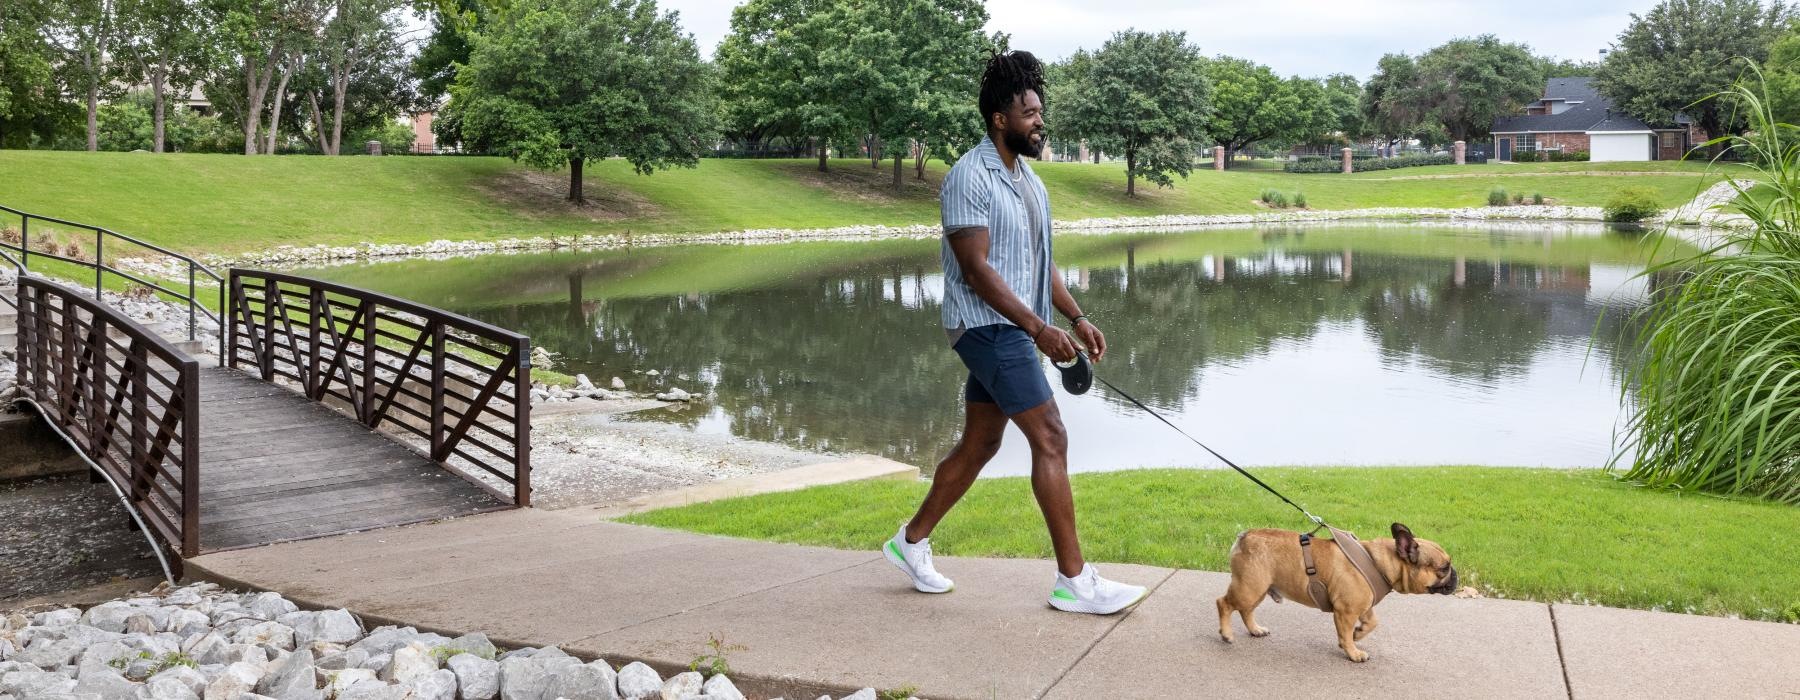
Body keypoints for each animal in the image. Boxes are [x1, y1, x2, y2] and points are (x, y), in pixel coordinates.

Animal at [1216, 518, 1454, 658]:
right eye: (1444, 568)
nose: (1455, 575)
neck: (1379, 561)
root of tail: (1245, 536)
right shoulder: (1346, 612)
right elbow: (1345, 634)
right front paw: (1354, 652)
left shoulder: (1363, 607)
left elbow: (1372, 623)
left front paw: (1358, 634)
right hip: (1249, 588)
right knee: (1224, 603)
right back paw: (1226, 634)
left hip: (1258, 589)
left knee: (1246, 610)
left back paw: (1255, 630)